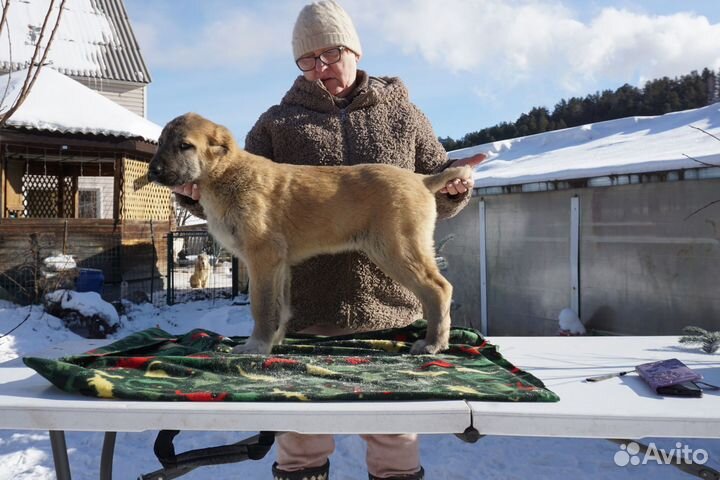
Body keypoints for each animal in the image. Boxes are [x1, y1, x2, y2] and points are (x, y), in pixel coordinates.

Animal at [149, 111, 476, 352]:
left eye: (185, 146)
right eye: (161, 142)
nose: (153, 171)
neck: (225, 175)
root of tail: (423, 180)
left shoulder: (262, 258)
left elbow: (261, 306)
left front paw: (255, 346)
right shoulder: (279, 264)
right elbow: (280, 307)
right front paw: (274, 343)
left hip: (397, 248)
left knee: (438, 289)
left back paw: (433, 344)